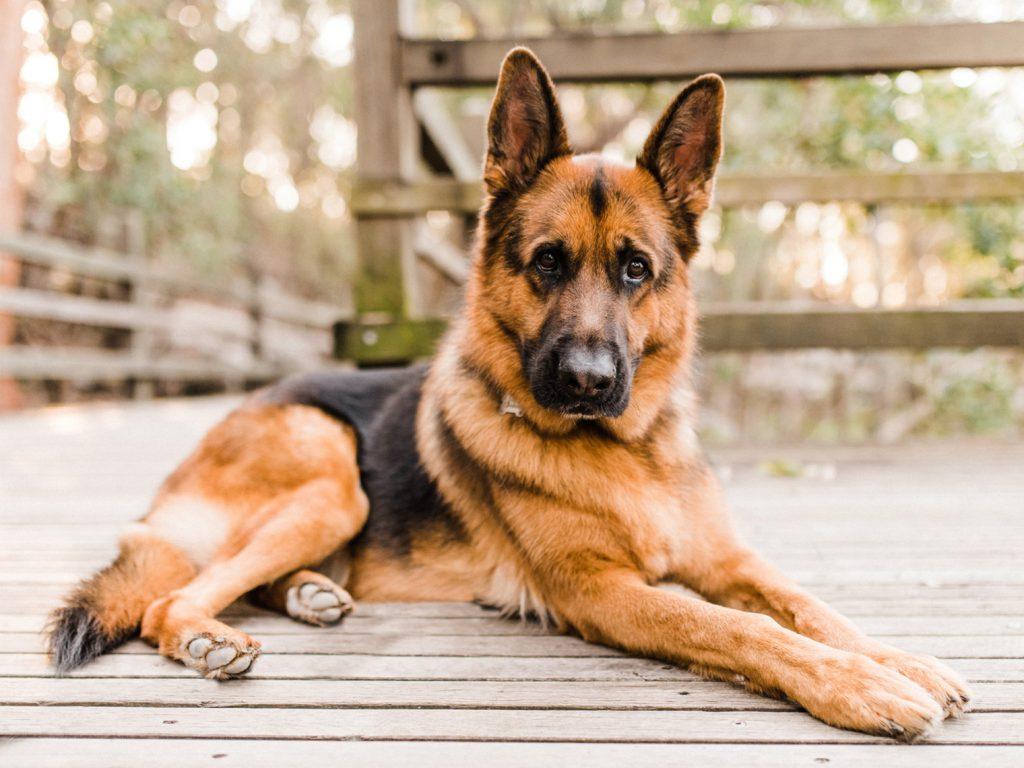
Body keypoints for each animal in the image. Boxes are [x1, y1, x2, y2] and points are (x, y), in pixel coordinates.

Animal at [51, 49, 970, 745]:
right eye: (547, 263)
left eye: (636, 269)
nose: (589, 381)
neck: (625, 453)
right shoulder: (601, 593)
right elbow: (740, 628)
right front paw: (859, 685)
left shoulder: (726, 562)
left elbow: (807, 605)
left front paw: (900, 659)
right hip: (331, 476)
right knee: (169, 600)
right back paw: (208, 637)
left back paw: (308, 594)